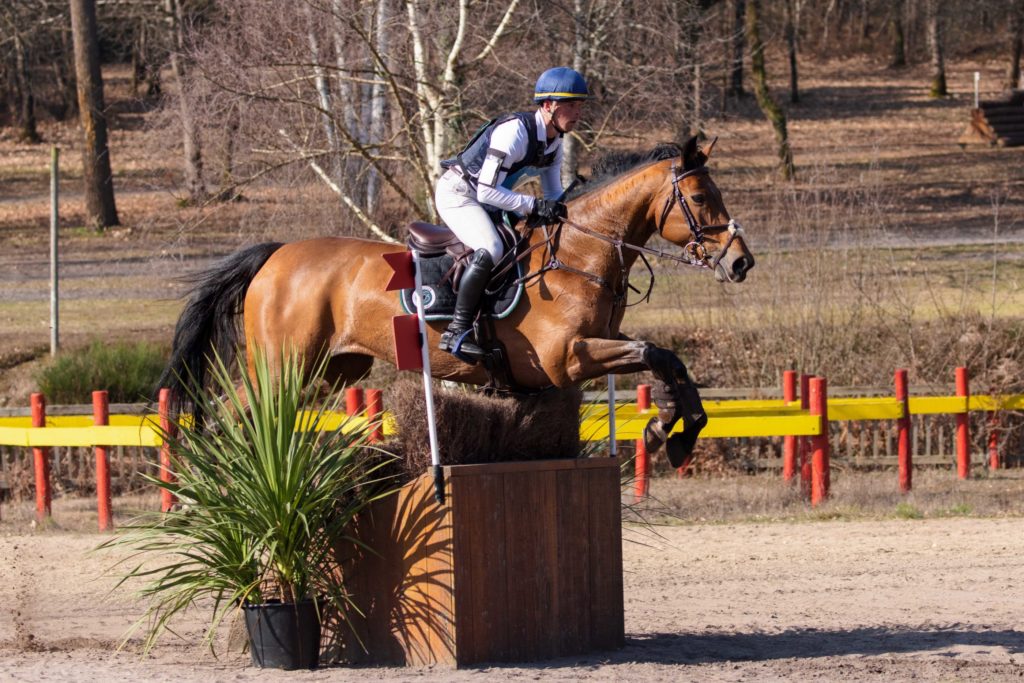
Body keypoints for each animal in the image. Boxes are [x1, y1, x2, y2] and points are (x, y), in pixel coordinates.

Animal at [157, 136, 753, 462]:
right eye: (701, 197)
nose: (740, 262)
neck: (582, 252)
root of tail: (277, 254)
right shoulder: (565, 359)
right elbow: (655, 353)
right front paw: (674, 431)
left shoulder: (602, 342)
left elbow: (666, 360)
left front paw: (672, 431)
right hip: (283, 365)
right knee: (229, 412)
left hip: (329, 370)